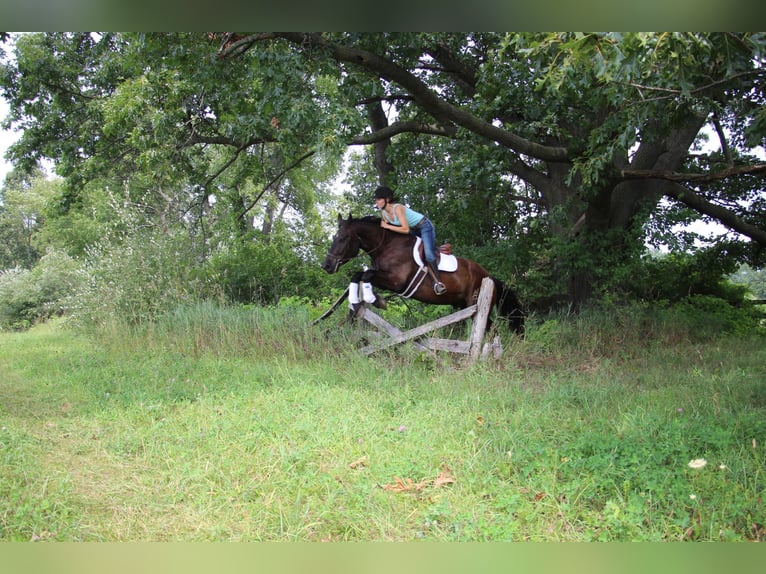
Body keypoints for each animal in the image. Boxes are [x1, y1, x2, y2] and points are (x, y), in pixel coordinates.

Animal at [320, 214, 528, 336]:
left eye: (343, 238)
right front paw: (356, 302)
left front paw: (376, 300)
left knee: (490, 329)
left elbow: (365, 275)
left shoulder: (397, 282)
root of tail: (489, 277)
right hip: (464, 305)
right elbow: (358, 275)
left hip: (476, 304)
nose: (327, 265)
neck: (387, 245)